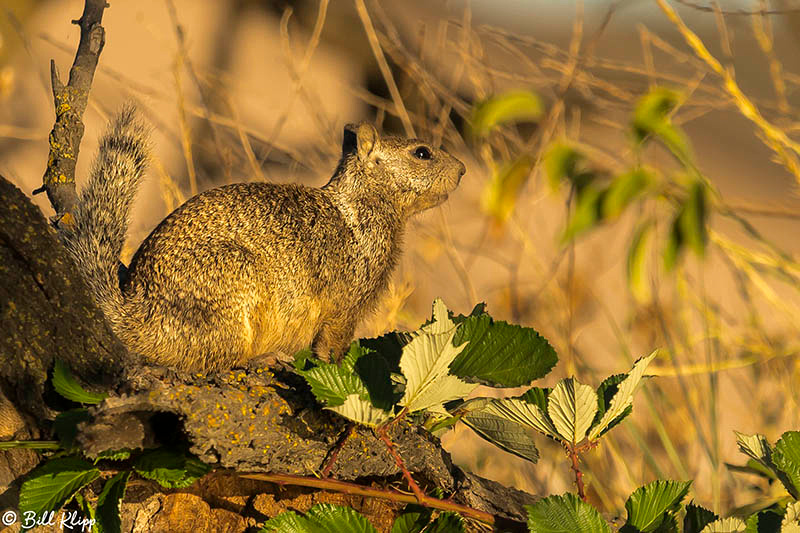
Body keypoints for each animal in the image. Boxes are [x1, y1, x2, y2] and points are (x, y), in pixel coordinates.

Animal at [62, 106, 466, 372]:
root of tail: (137, 318)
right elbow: (332, 348)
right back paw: (265, 358)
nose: (462, 169)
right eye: (422, 152)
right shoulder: (345, 304)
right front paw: (342, 375)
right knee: (218, 360)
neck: (359, 205)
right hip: (233, 286)